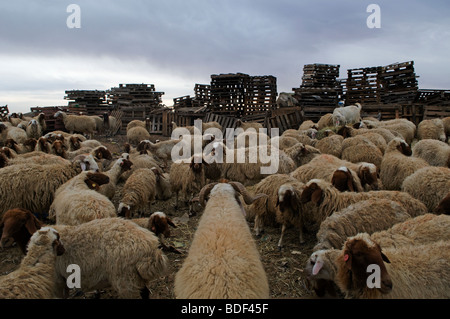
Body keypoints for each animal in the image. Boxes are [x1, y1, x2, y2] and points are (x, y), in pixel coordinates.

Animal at [0, 210, 168, 300]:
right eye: (4, 222)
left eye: (20, 222)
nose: (4, 241)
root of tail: (149, 245)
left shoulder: (57, 283)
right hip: (134, 277)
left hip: (125, 279)